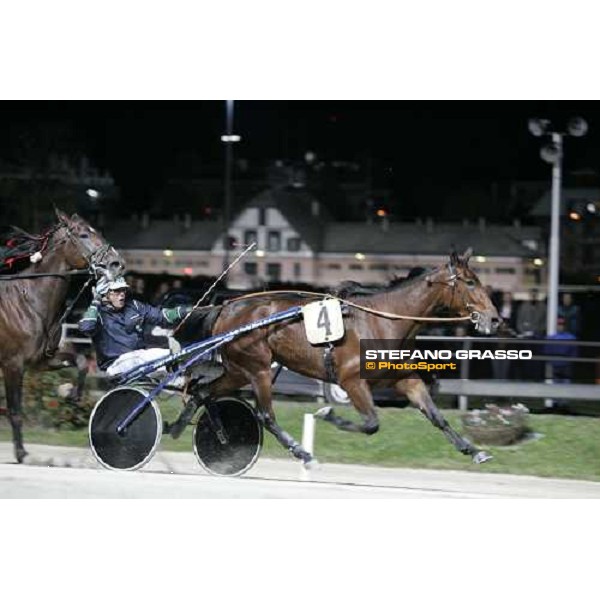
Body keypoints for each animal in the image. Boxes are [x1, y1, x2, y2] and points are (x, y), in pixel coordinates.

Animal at [0, 211, 124, 464]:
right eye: (84, 234)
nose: (116, 263)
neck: (30, 301)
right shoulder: (12, 365)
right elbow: (15, 411)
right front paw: (20, 453)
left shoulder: (43, 359)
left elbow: (81, 363)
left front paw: (70, 393)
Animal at [197, 248, 502, 464]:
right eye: (469, 282)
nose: (496, 319)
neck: (383, 322)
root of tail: (226, 307)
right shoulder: (352, 381)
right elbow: (371, 423)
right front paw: (329, 414)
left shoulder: (404, 379)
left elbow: (436, 416)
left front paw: (473, 450)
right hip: (257, 369)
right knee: (264, 414)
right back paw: (301, 452)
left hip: (238, 371)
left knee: (201, 392)